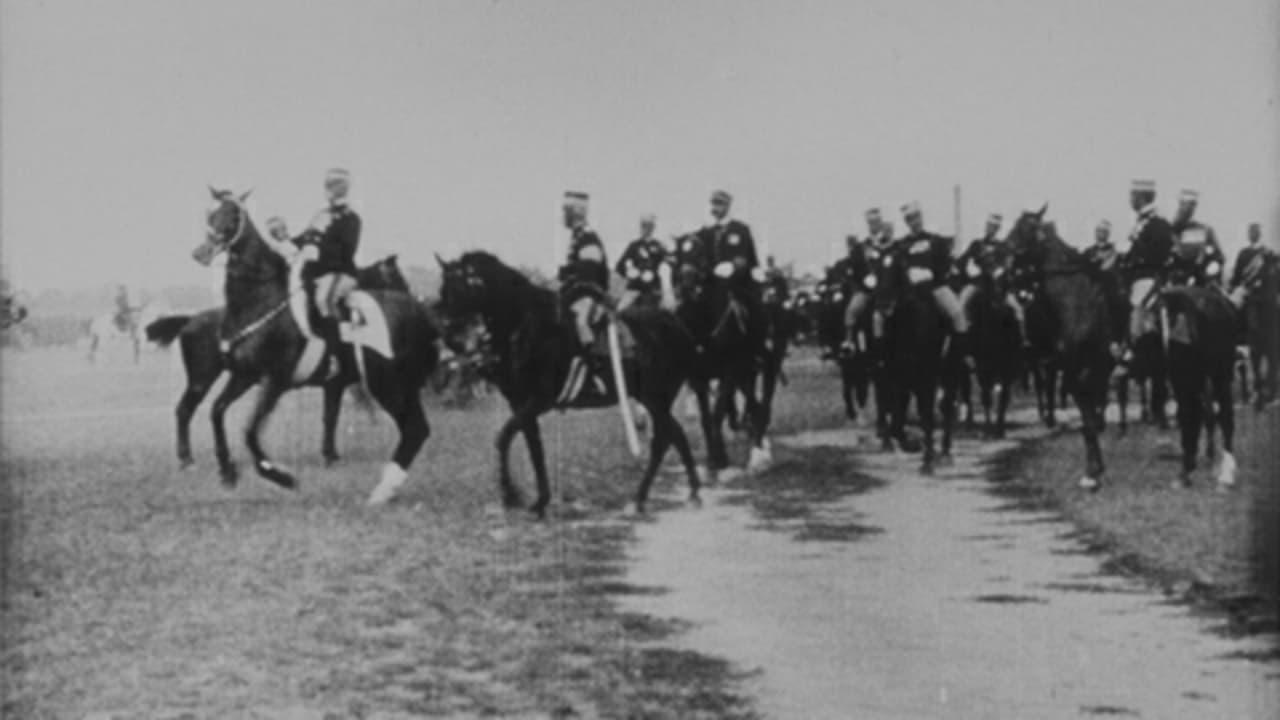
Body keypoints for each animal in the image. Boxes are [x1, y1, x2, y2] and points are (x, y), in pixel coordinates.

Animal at [146, 254, 414, 468]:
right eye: (397, 276)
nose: (412, 300)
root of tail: (190, 319)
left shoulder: (336, 385)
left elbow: (339, 413)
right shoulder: (335, 384)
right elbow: (331, 418)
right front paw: (329, 456)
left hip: (237, 379)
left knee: (209, 408)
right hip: (202, 380)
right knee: (185, 410)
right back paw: (187, 459)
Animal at [188, 188, 440, 502]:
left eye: (233, 215)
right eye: (210, 213)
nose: (201, 253)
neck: (259, 301)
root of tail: (420, 312)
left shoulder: (276, 381)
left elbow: (250, 431)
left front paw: (281, 476)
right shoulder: (245, 376)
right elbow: (217, 411)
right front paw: (227, 471)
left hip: (390, 385)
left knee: (414, 428)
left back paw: (382, 491)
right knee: (415, 428)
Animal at [437, 249, 701, 512]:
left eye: (458, 289)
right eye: (443, 289)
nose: (448, 340)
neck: (529, 327)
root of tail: (678, 327)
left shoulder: (538, 402)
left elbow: (504, 437)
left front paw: (511, 494)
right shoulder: (521, 404)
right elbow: (534, 448)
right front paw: (539, 500)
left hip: (657, 399)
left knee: (664, 440)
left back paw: (654, 495)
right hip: (654, 401)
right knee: (674, 435)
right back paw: (683, 491)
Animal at [870, 243, 962, 474]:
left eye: (897, 269)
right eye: (877, 270)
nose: (883, 304)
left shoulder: (926, 376)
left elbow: (926, 415)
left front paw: (928, 461)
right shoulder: (896, 376)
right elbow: (896, 416)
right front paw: (910, 443)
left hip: (950, 371)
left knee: (946, 407)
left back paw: (944, 453)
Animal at [1003, 204, 1116, 489]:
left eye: (1024, 228)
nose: (1000, 251)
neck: (1074, 304)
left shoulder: (1082, 373)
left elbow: (1089, 419)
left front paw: (1091, 472)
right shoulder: (1069, 371)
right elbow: (1087, 419)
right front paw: (1094, 470)